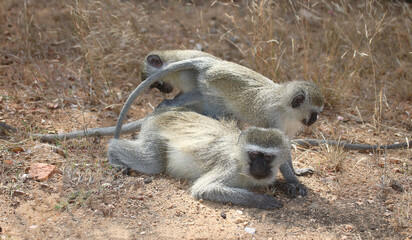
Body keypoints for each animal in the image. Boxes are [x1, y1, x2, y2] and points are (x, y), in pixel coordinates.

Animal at [108, 108, 302, 209]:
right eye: (254, 154)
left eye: (268, 157)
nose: (259, 166)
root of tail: (163, 113)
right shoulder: (230, 167)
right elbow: (204, 189)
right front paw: (261, 201)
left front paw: (293, 182)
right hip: (154, 133)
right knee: (152, 163)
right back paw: (112, 151)